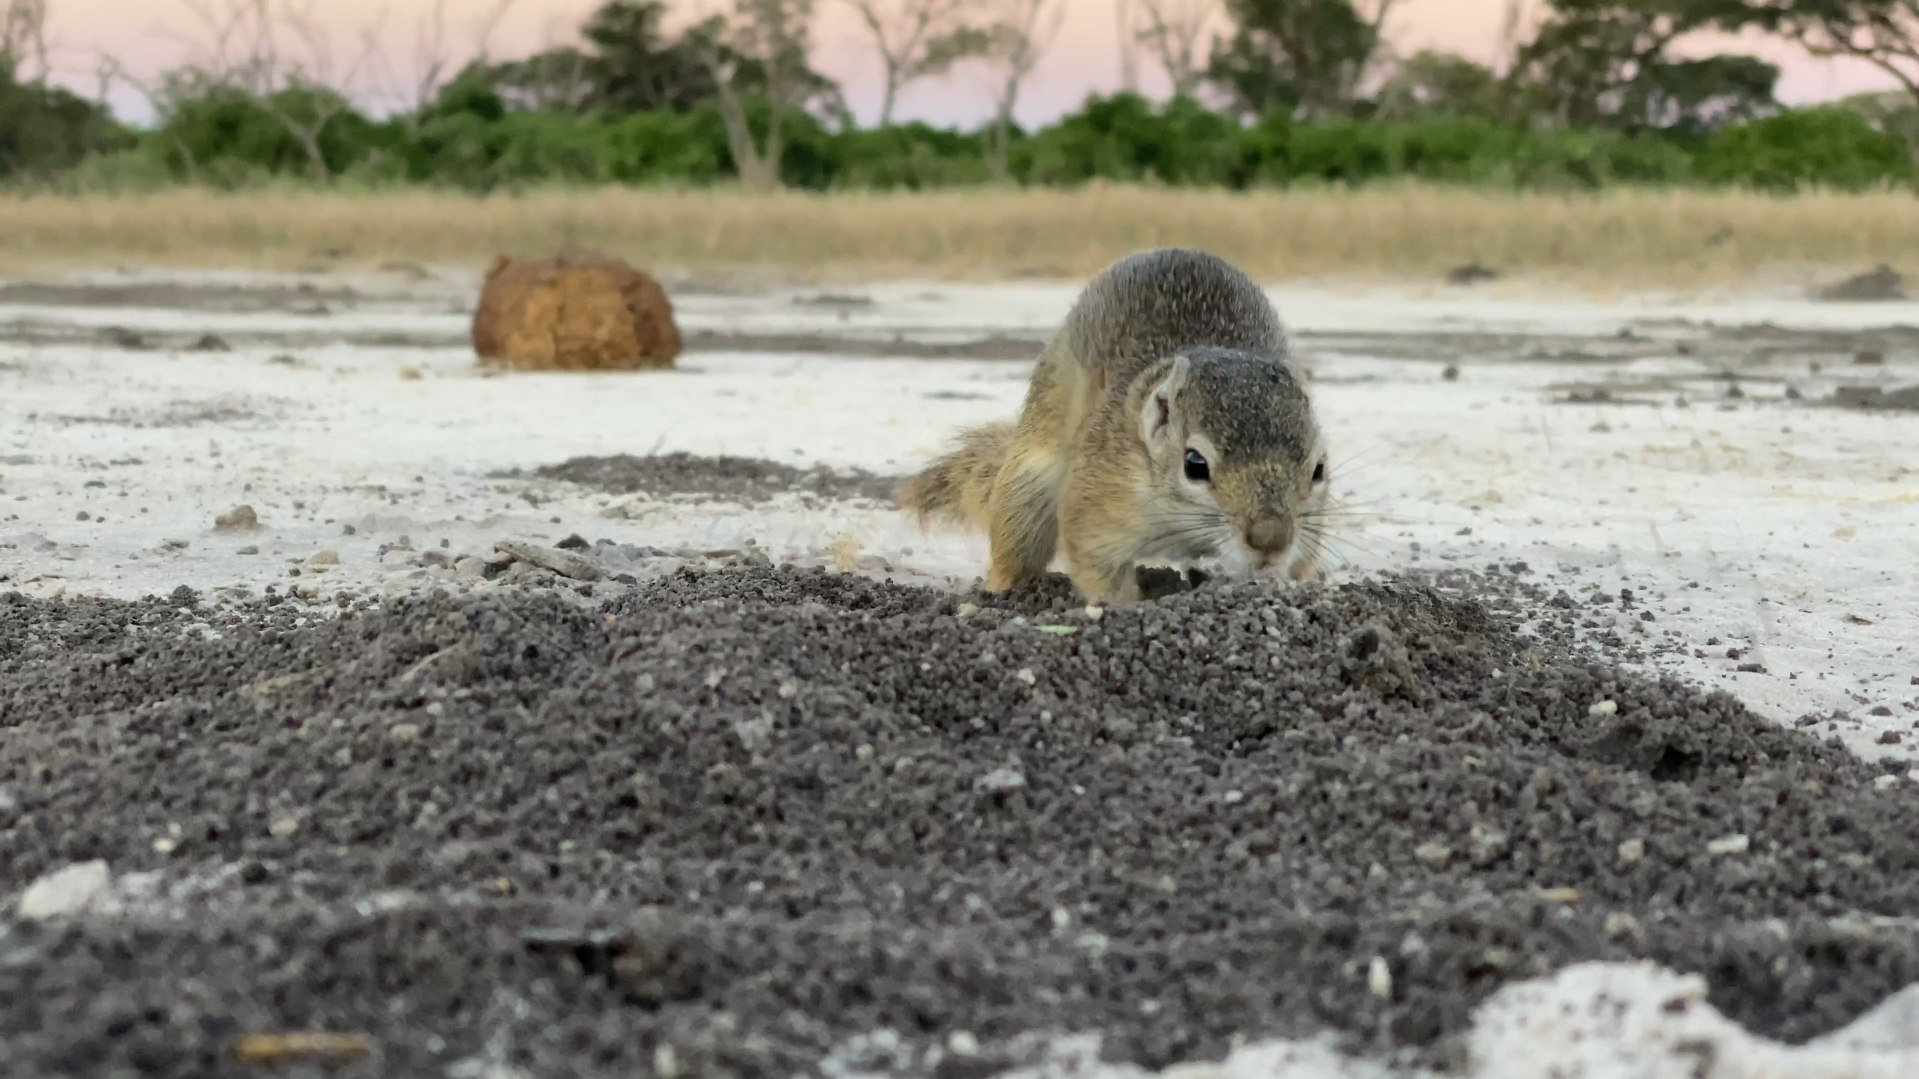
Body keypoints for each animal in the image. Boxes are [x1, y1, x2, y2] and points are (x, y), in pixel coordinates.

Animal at [897, 247, 1332, 604]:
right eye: (1194, 464)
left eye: (1319, 469)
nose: (1270, 539)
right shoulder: (1102, 494)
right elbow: (1097, 560)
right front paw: (1122, 606)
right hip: (1028, 489)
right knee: (1015, 549)